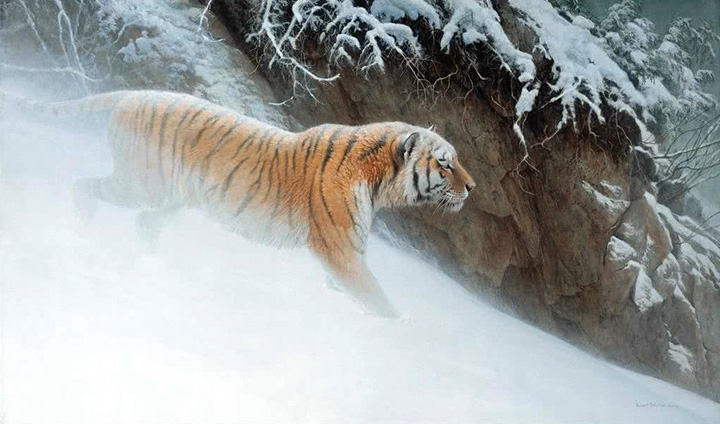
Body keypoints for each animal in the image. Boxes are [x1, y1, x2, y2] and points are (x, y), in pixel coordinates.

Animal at [4, 90, 476, 317]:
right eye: (445, 163)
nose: (472, 187)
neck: (377, 181)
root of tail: (131, 94)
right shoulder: (342, 251)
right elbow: (380, 300)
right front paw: (404, 331)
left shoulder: (343, 258)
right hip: (141, 185)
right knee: (84, 187)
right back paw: (81, 230)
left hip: (172, 198)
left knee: (144, 226)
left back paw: (156, 267)